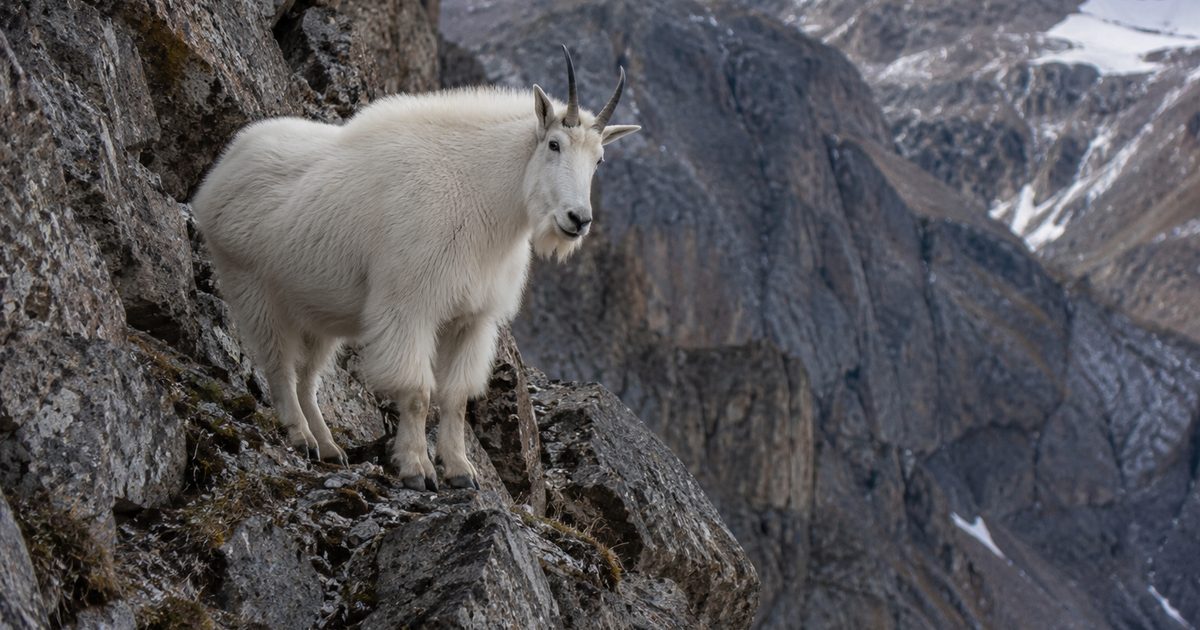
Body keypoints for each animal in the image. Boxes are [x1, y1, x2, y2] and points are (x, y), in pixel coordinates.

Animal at [192, 47, 639, 490]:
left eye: (599, 159)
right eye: (554, 144)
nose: (577, 219)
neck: (482, 200)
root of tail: (222, 168)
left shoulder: (472, 319)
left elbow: (456, 397)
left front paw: (461, 471)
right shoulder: (410, 307)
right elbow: (418, 391)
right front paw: (416, 469)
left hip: (316, 311)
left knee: (308, 376)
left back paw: (329, 447)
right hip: (251, 285)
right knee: (280, 365)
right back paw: (302, 437)